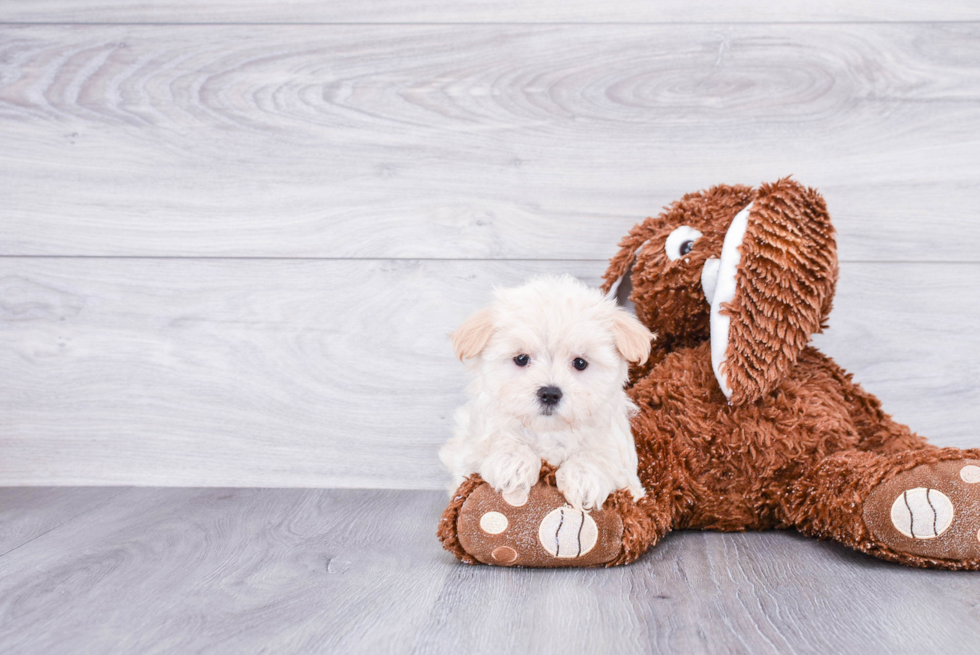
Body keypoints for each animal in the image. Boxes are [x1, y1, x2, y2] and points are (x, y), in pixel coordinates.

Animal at [440, 274, 656, 510]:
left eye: (580, 363)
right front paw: (513, 460)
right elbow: (496, 438)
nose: (550, 394)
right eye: (521, 359)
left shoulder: (622, 463)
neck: (548, 432)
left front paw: (584, 475)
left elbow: (600, 454)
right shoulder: (469, 446)